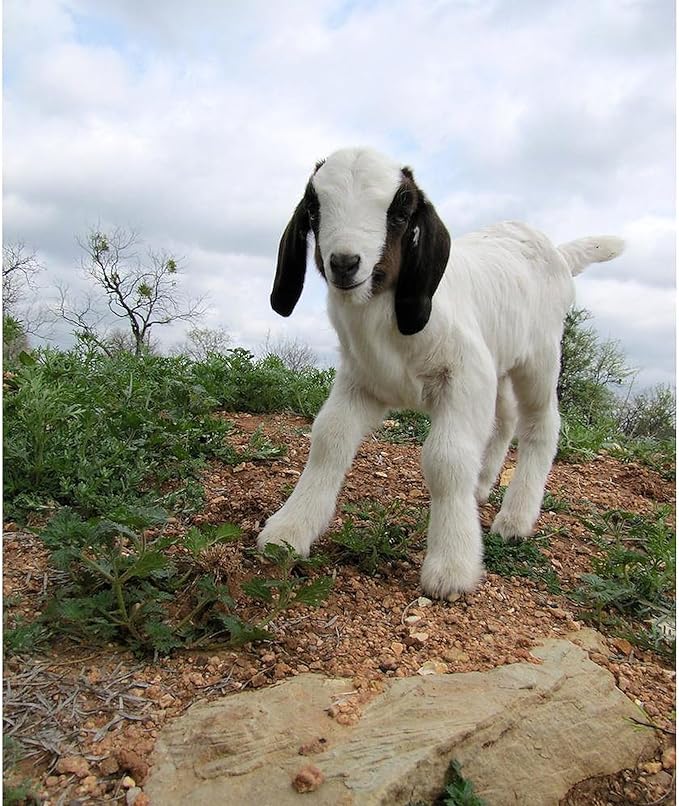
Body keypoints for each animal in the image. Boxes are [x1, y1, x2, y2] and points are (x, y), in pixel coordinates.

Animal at [258, 147, 624, 599]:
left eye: (401, 209)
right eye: (313, 207)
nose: (344, 263)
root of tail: (557, 251)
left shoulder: (464, 377)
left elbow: (446, 461)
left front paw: (451, 567)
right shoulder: (362, 380)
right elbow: (329, 441)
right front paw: (289, 530)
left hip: (539, 357)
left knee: (540, 424)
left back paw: (515, 520)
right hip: (498, 364)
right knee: (504, 420)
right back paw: (482, 485)